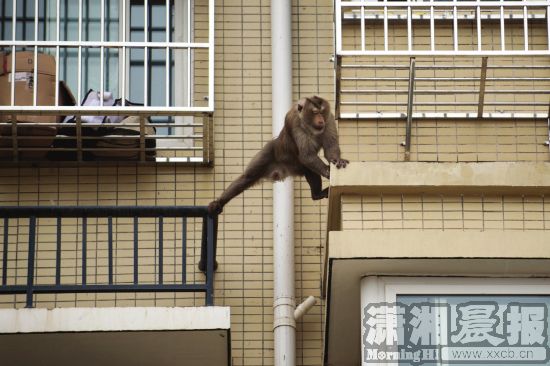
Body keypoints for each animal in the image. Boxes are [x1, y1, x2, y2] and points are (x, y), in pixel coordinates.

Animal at [208, 96, 350, 216]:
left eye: (322, 112)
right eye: (315, 113)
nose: (320, 120)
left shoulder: (329, 119)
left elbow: (330, 148)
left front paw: (337, 160)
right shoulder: (294, 122)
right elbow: (306, 155)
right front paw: (328, 170)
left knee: (309, 170)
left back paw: (317, 194)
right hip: (270, 152)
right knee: (247, 177)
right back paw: (220, 201)